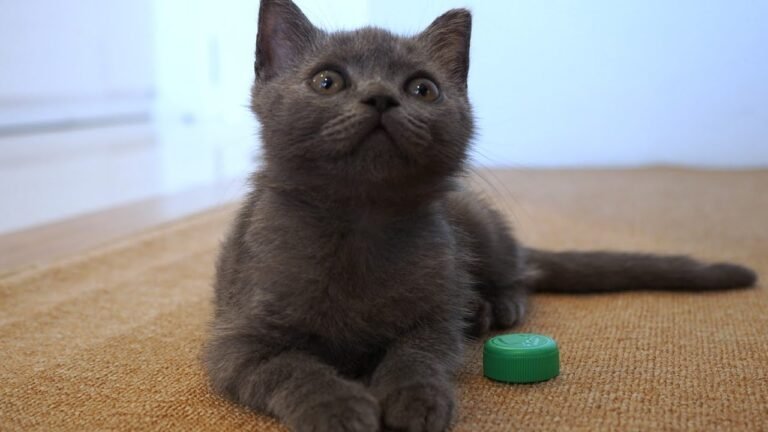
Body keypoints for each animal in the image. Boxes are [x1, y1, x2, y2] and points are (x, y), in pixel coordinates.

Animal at [202, 1, 756, 430]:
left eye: (423, 89)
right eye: (326, 81)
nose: (381, 97)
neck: (359, 224)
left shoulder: (435, 315)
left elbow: (416, 356)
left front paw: (416, 400)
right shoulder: (237, 343)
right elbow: (294, 369)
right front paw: (338, 408)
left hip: (477, 224)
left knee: (520, 273)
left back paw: (496, 307)